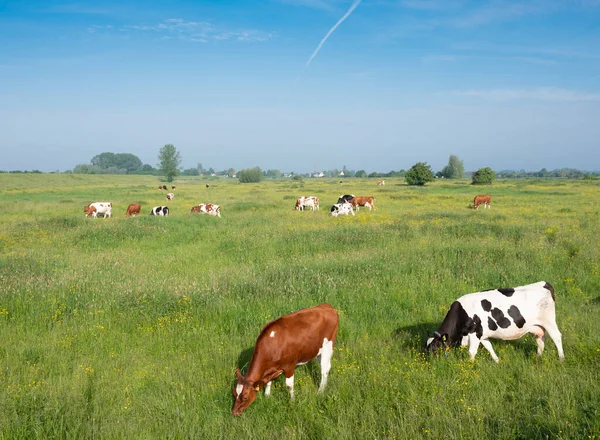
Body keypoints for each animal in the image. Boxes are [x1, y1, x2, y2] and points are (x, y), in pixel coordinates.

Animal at [426, 282, 564, 360]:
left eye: (435, 347)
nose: (429, 361)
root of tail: (544, 283)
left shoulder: (475, 334)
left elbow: (471, 353)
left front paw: (469, 366)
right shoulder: (482, 334)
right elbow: (489, 347)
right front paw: (497, 361)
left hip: (549, 321)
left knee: (557, 337)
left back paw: (561, 359)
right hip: (537, 326)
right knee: (540, 340)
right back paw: (538, 357)